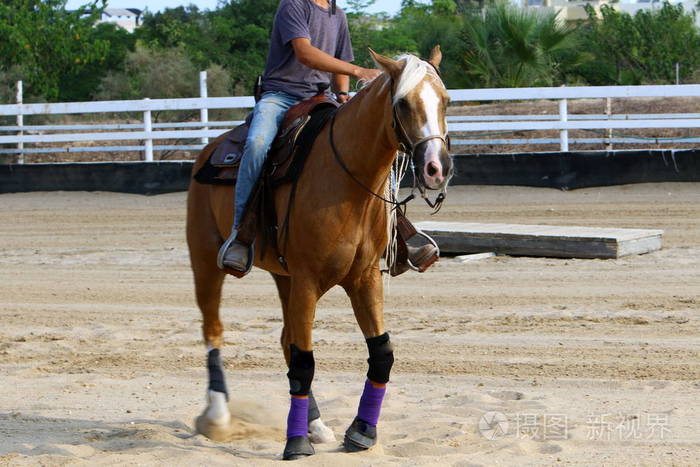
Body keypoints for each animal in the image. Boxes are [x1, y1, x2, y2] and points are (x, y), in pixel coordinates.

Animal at [183, 47, 452, 460]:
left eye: (446, 101)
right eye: (403, 103)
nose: (437, 169)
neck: (348, 183)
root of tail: (210, 149)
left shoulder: (364, 279)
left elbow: (381, 353)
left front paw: (361, 431)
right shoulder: (309, 280)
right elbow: (305, 362)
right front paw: (295, 443)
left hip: (284, 276)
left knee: (286, 340)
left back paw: (316, 424)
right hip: (206, 261)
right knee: (214, 330)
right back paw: (218, 414)